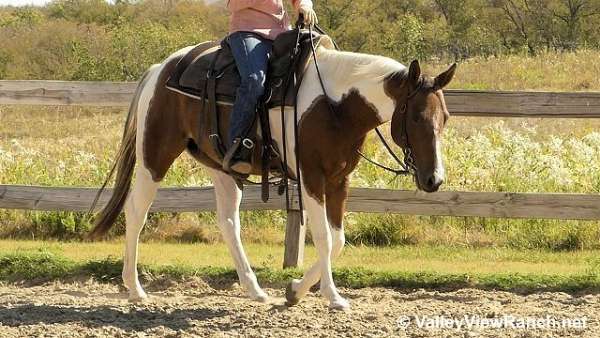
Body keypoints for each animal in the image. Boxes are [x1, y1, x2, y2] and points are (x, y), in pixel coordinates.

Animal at [88, 35, 454, 310]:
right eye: (416, 117)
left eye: (446, 117)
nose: (434, 180)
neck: (335, 104)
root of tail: (159, 70)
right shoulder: (311, 177)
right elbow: (324, 238)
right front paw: (333, 297)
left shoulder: (340, 180)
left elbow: (337, 240)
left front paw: (294, 291)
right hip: (155, 156)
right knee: (136, 211)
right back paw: (135, 289)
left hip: (222, 168)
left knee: (229, 222)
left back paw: (254, 290)